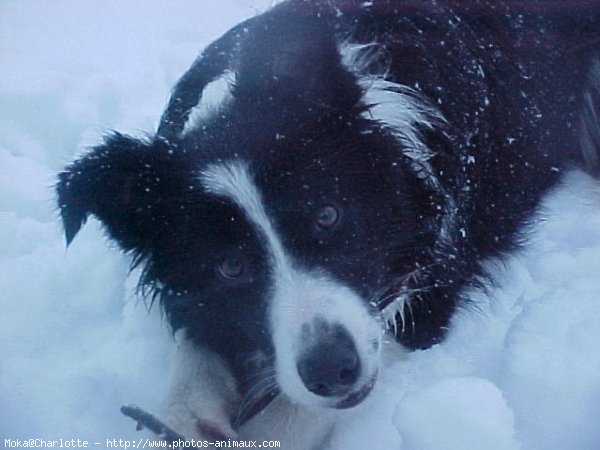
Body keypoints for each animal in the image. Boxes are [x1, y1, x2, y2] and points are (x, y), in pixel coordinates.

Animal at [56, 1, 600, 448]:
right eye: (230, 267)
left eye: (327, 215)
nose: (333, 371)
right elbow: (199, 341)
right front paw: (186, 417)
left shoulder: (434, 273)